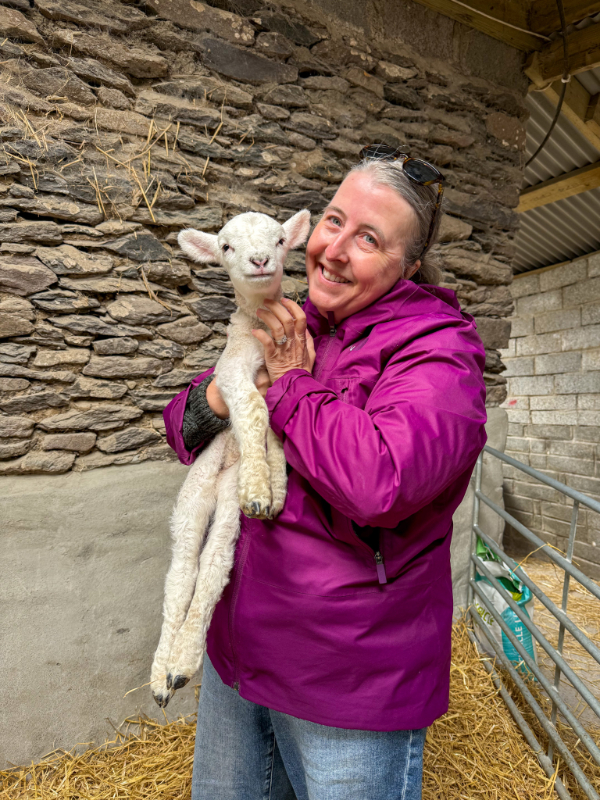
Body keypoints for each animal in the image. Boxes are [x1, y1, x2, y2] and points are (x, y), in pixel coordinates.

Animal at [151, 209, 311, 708]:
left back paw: (180, 665)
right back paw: (164, 672)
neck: (259, 330)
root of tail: (220, 479)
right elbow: (254, 409)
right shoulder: (232, 372)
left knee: (214, 566)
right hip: (193, 496)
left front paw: (273, 490)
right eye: (225, 246)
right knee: (181, 575)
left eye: (279, 240)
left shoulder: (288, 377)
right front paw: (261, 486)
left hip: (224, 507)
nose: (260, 261)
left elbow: (278, 429)